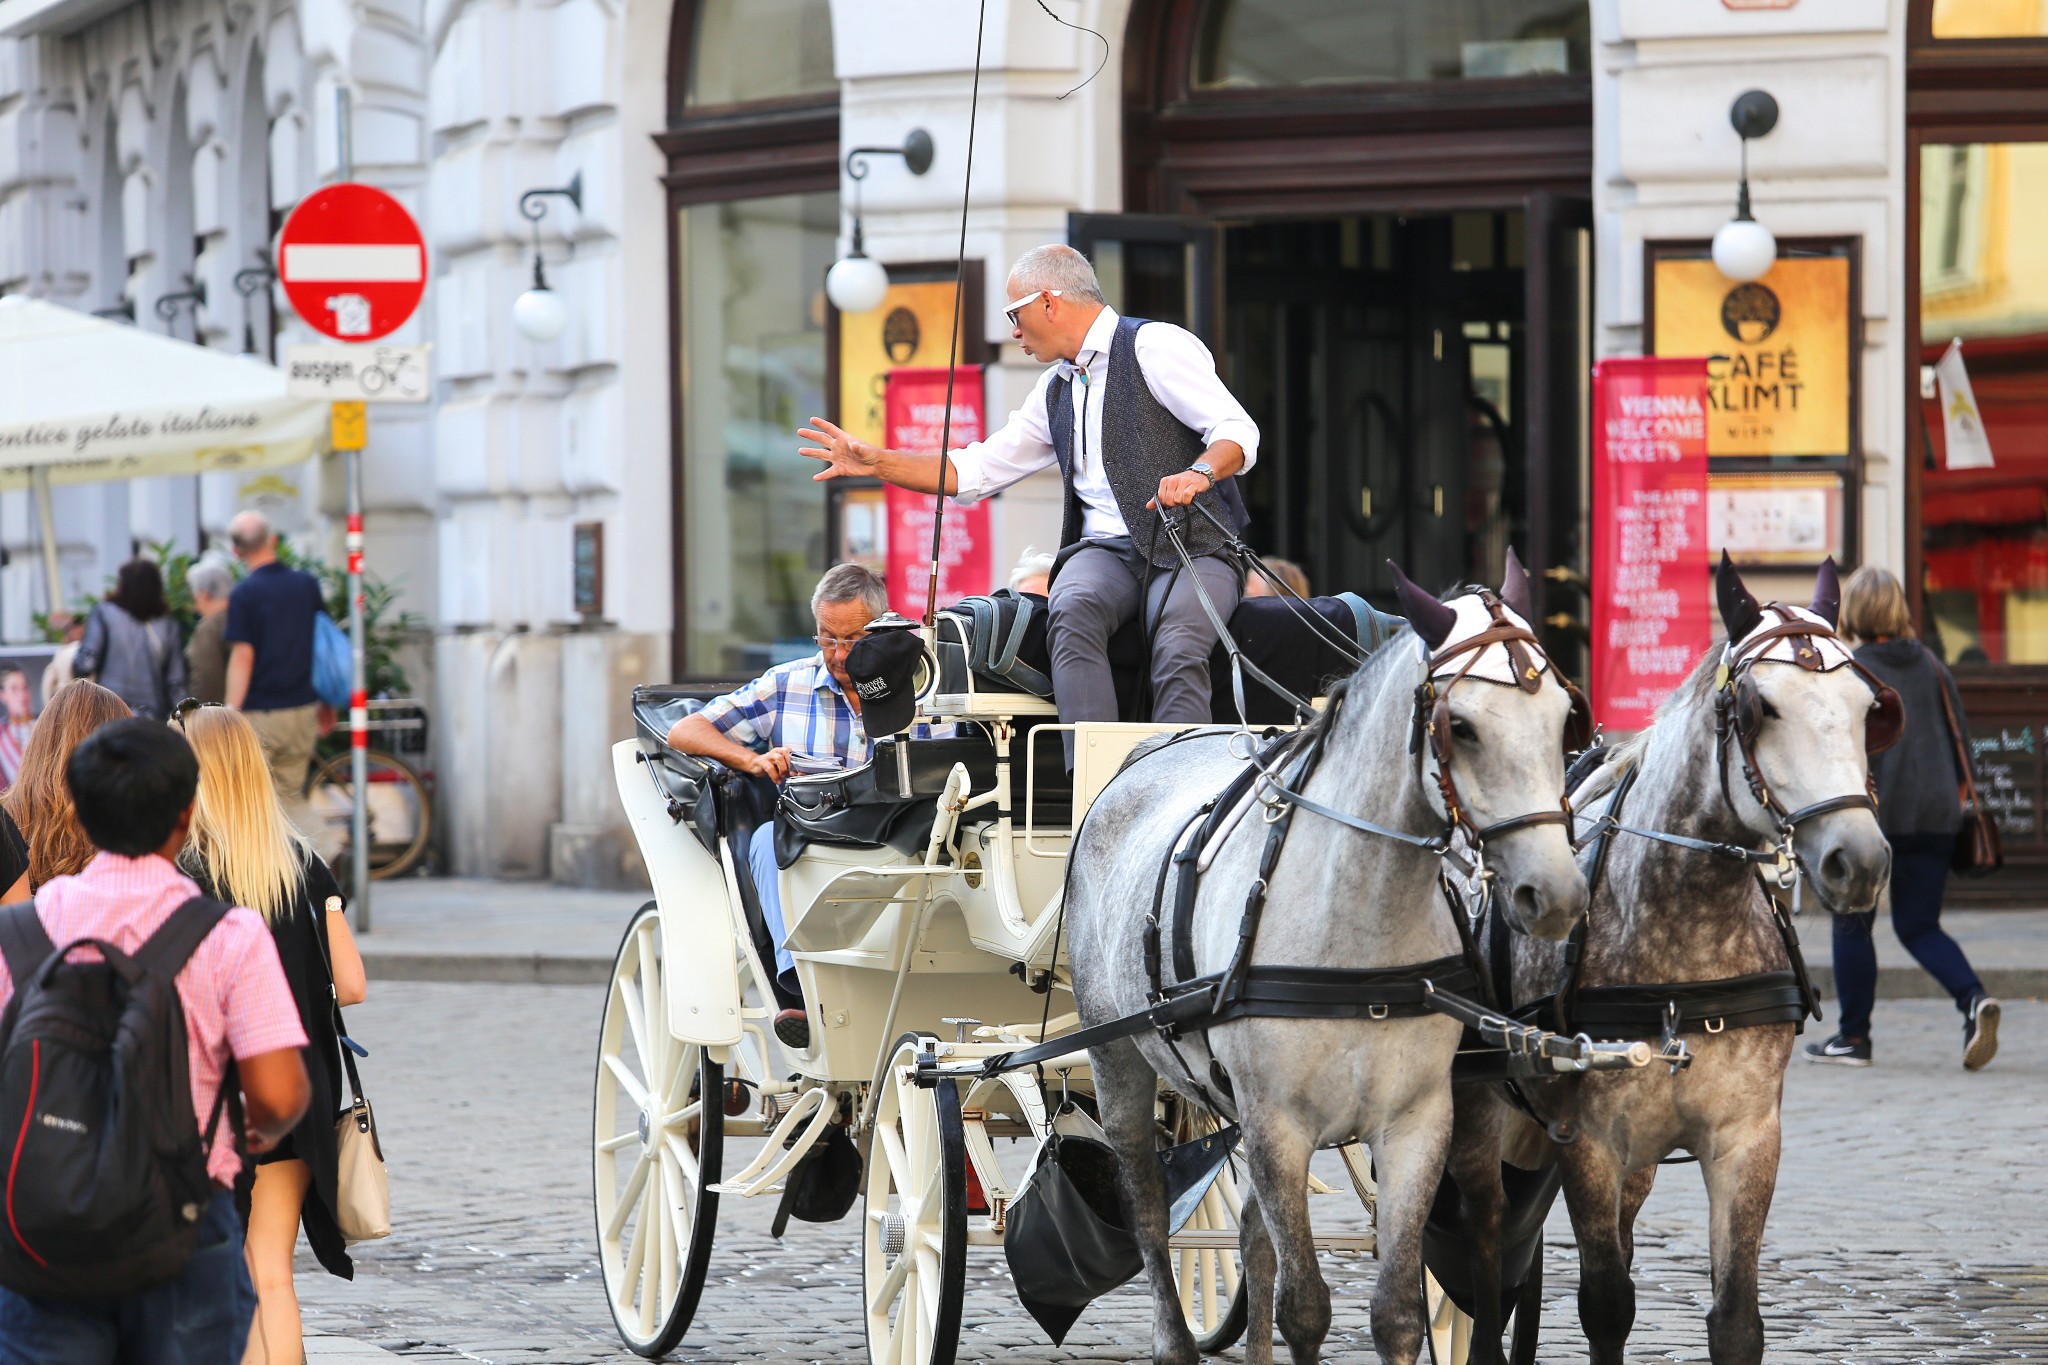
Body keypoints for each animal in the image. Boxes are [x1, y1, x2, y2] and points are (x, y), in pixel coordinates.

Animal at [1064, 556, 1589, 1365]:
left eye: (1566, 719)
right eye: (1460, 726)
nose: (1555, 893)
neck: (1359, 917)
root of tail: (1147, 750)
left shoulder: (1416, 1122)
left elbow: (1396, 1309)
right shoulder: (1278, 1123)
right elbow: (1306, 1306)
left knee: (1253, 1237)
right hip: (1117, 1057)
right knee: (1149, 1211)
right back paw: (1173, 1337)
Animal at [1449, 556, 1892, 1365]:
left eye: (1866, 706)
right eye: (1758, 707)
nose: (1861, 859)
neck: (1687, 943)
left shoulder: (1746, 1138)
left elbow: (1736, 1320)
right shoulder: (1590, 1142)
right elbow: (1605, 1303)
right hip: (1475, 1116)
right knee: (1485, 1251)